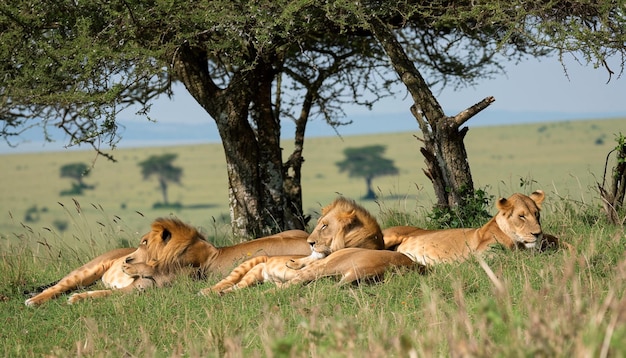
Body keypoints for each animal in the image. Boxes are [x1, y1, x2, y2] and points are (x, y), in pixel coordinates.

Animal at [25, 217, 310, 306]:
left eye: (144, 242)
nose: (125, 261)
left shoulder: (138, 290)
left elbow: (104, 294)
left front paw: (80, 298)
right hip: (89, 269)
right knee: (58, 286)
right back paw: (34, 300)